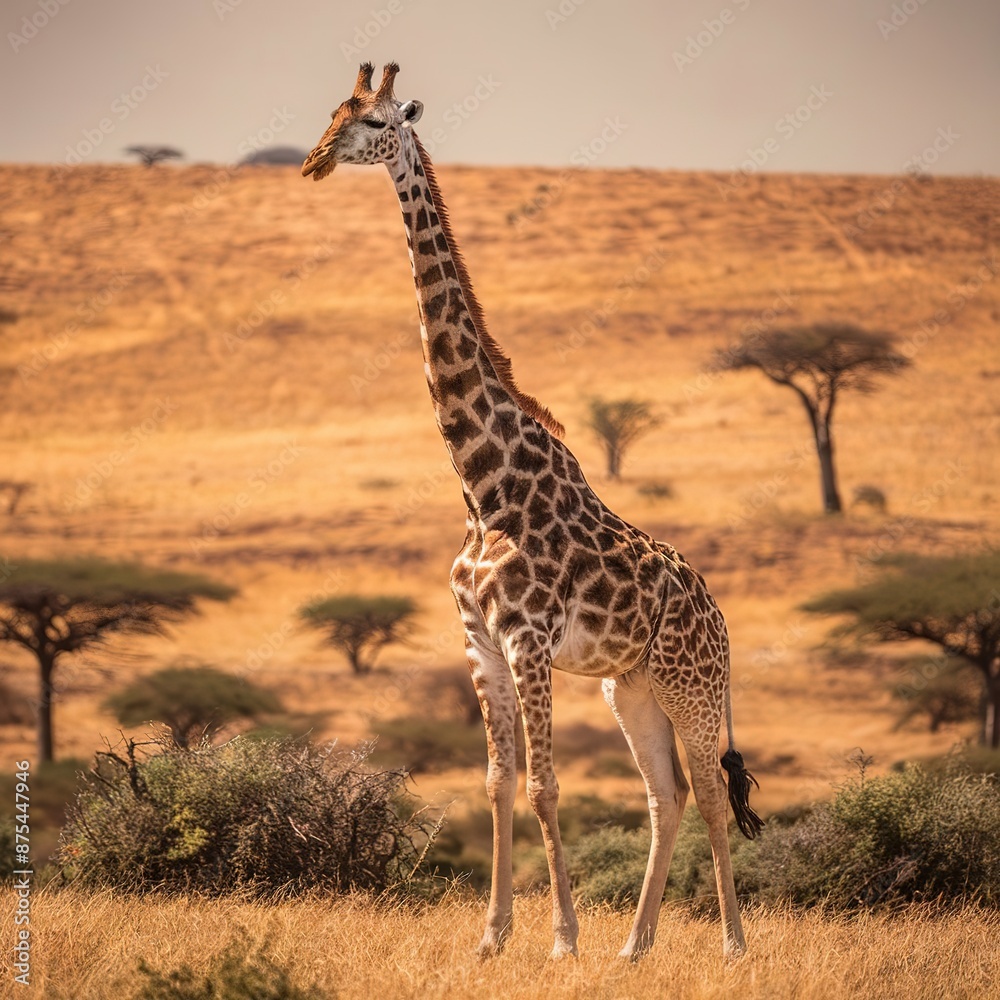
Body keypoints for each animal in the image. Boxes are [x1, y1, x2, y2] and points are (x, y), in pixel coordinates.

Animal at [302, 63, 763, 962]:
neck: (483, 486)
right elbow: (495, 783)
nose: (312, 162)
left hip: (690, 688)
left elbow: (546, 786)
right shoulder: (478, 642)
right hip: (631, 687)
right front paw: (492, 937)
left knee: (709, 794)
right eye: (332, 114)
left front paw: (560, 940)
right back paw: (636, 946)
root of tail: (722, 622)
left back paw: (729, 945)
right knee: (667, 796)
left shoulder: (527, 639)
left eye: (375, 121)